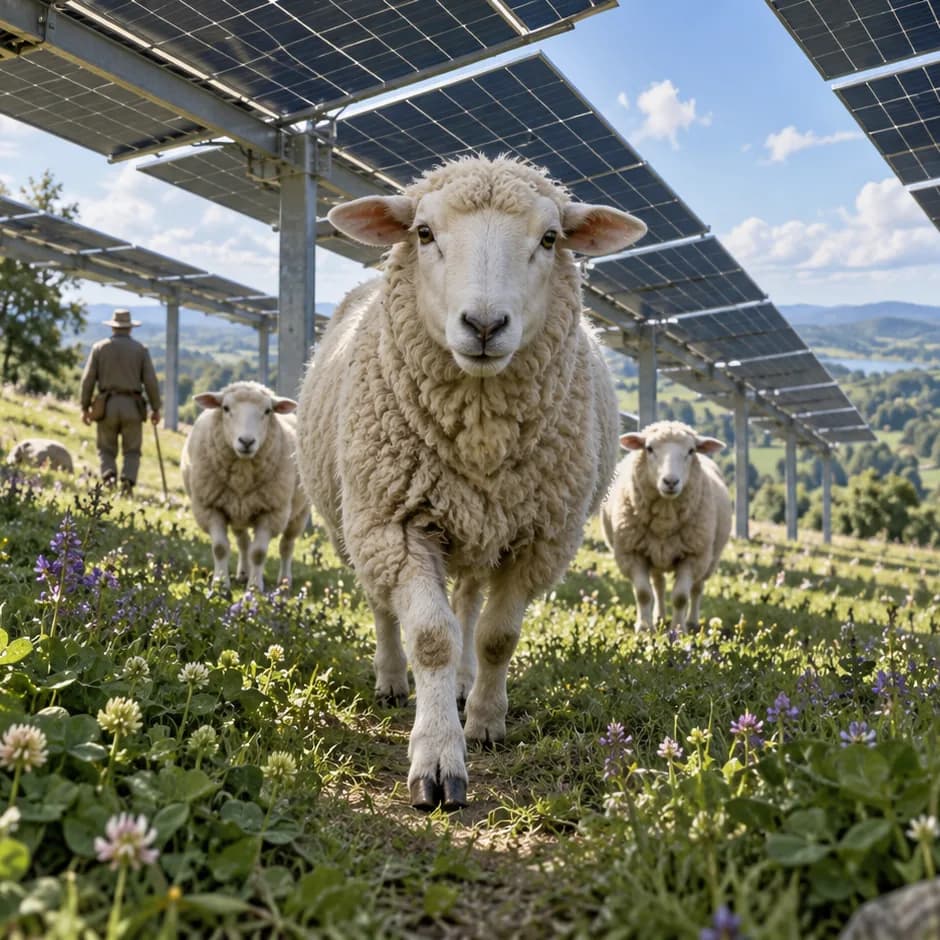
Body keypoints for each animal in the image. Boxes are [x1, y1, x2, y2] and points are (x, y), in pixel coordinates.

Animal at [180, 381, 309, 592]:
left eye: (267, 411)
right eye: (225, 408)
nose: (246, 441)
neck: (242, 475)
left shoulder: (271, 512)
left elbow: (258, 552)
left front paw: (255, 587)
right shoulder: (210, 507)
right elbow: (220, 548)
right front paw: (220, 583)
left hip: (300, 512)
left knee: (287, 545)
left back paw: (284, 581)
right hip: (237, 512)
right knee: (243, 542)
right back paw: (243, 573)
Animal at [296, 155, 647, 810]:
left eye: (550, 238)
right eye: (424, 233)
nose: (484, 325)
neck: (480, 431)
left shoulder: (539, 538)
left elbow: (495, 638)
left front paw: (483, 720)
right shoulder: (395, 523)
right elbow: (431, 636)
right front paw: (437, 760)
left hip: (479, 529)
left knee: (467, 603)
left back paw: (461, 686)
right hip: (359, 523)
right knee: (383, 606)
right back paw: (391, 679)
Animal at [600, 420, 732, 632]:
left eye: (691, 450)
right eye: (649, 448)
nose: (670, 481)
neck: (665, 518)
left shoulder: (693, 556)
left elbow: (681, 597)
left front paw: (678, 630)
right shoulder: (632, 553)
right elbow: (643, 593)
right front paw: (644, 628)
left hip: (709, 558)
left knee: (697, 588)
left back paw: (692, 622)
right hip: (655, 555)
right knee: (658, 586)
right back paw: (659, 617)